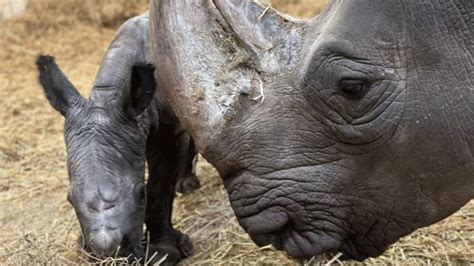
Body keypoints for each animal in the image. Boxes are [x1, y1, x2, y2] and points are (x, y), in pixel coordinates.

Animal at [36, 11, 198, 262]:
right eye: (69, 199)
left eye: (140, 194)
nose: (108, 253)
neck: (108, 96)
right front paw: (84, 246)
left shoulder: (167, 130)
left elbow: (160, 188)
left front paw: (166, 251)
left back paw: (187, 185)